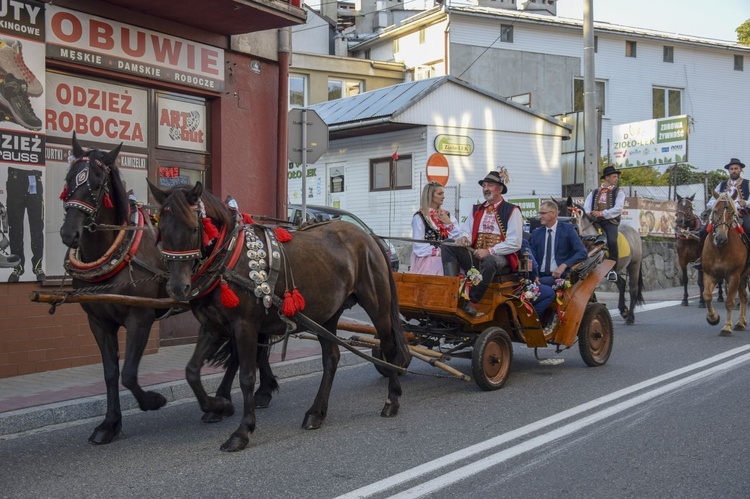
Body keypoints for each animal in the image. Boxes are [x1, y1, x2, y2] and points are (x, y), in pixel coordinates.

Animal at [148, 183, 412, 454]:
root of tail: (369, 237)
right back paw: (316, 412)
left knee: (388, 347)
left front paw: (242, 430)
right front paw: (217, 406)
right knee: (331, 359)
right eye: (161, 229)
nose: (177, 288)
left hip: (377, 303)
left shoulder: (245, 326)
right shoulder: (213, 327)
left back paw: (392, 399)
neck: (230, 256)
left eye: (193, 228)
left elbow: (246, 376)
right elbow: (192, 371)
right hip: (328, 313)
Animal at [704, 191, 748, 336]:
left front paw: (727, 327)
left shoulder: (733, 276)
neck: (720, 249)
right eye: (715, 211)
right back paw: (740, 323)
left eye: (732, 213)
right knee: (744, 296)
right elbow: (707, 296)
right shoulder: (709, 274)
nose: (721, 238)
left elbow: (729, 302)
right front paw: (713, 318)